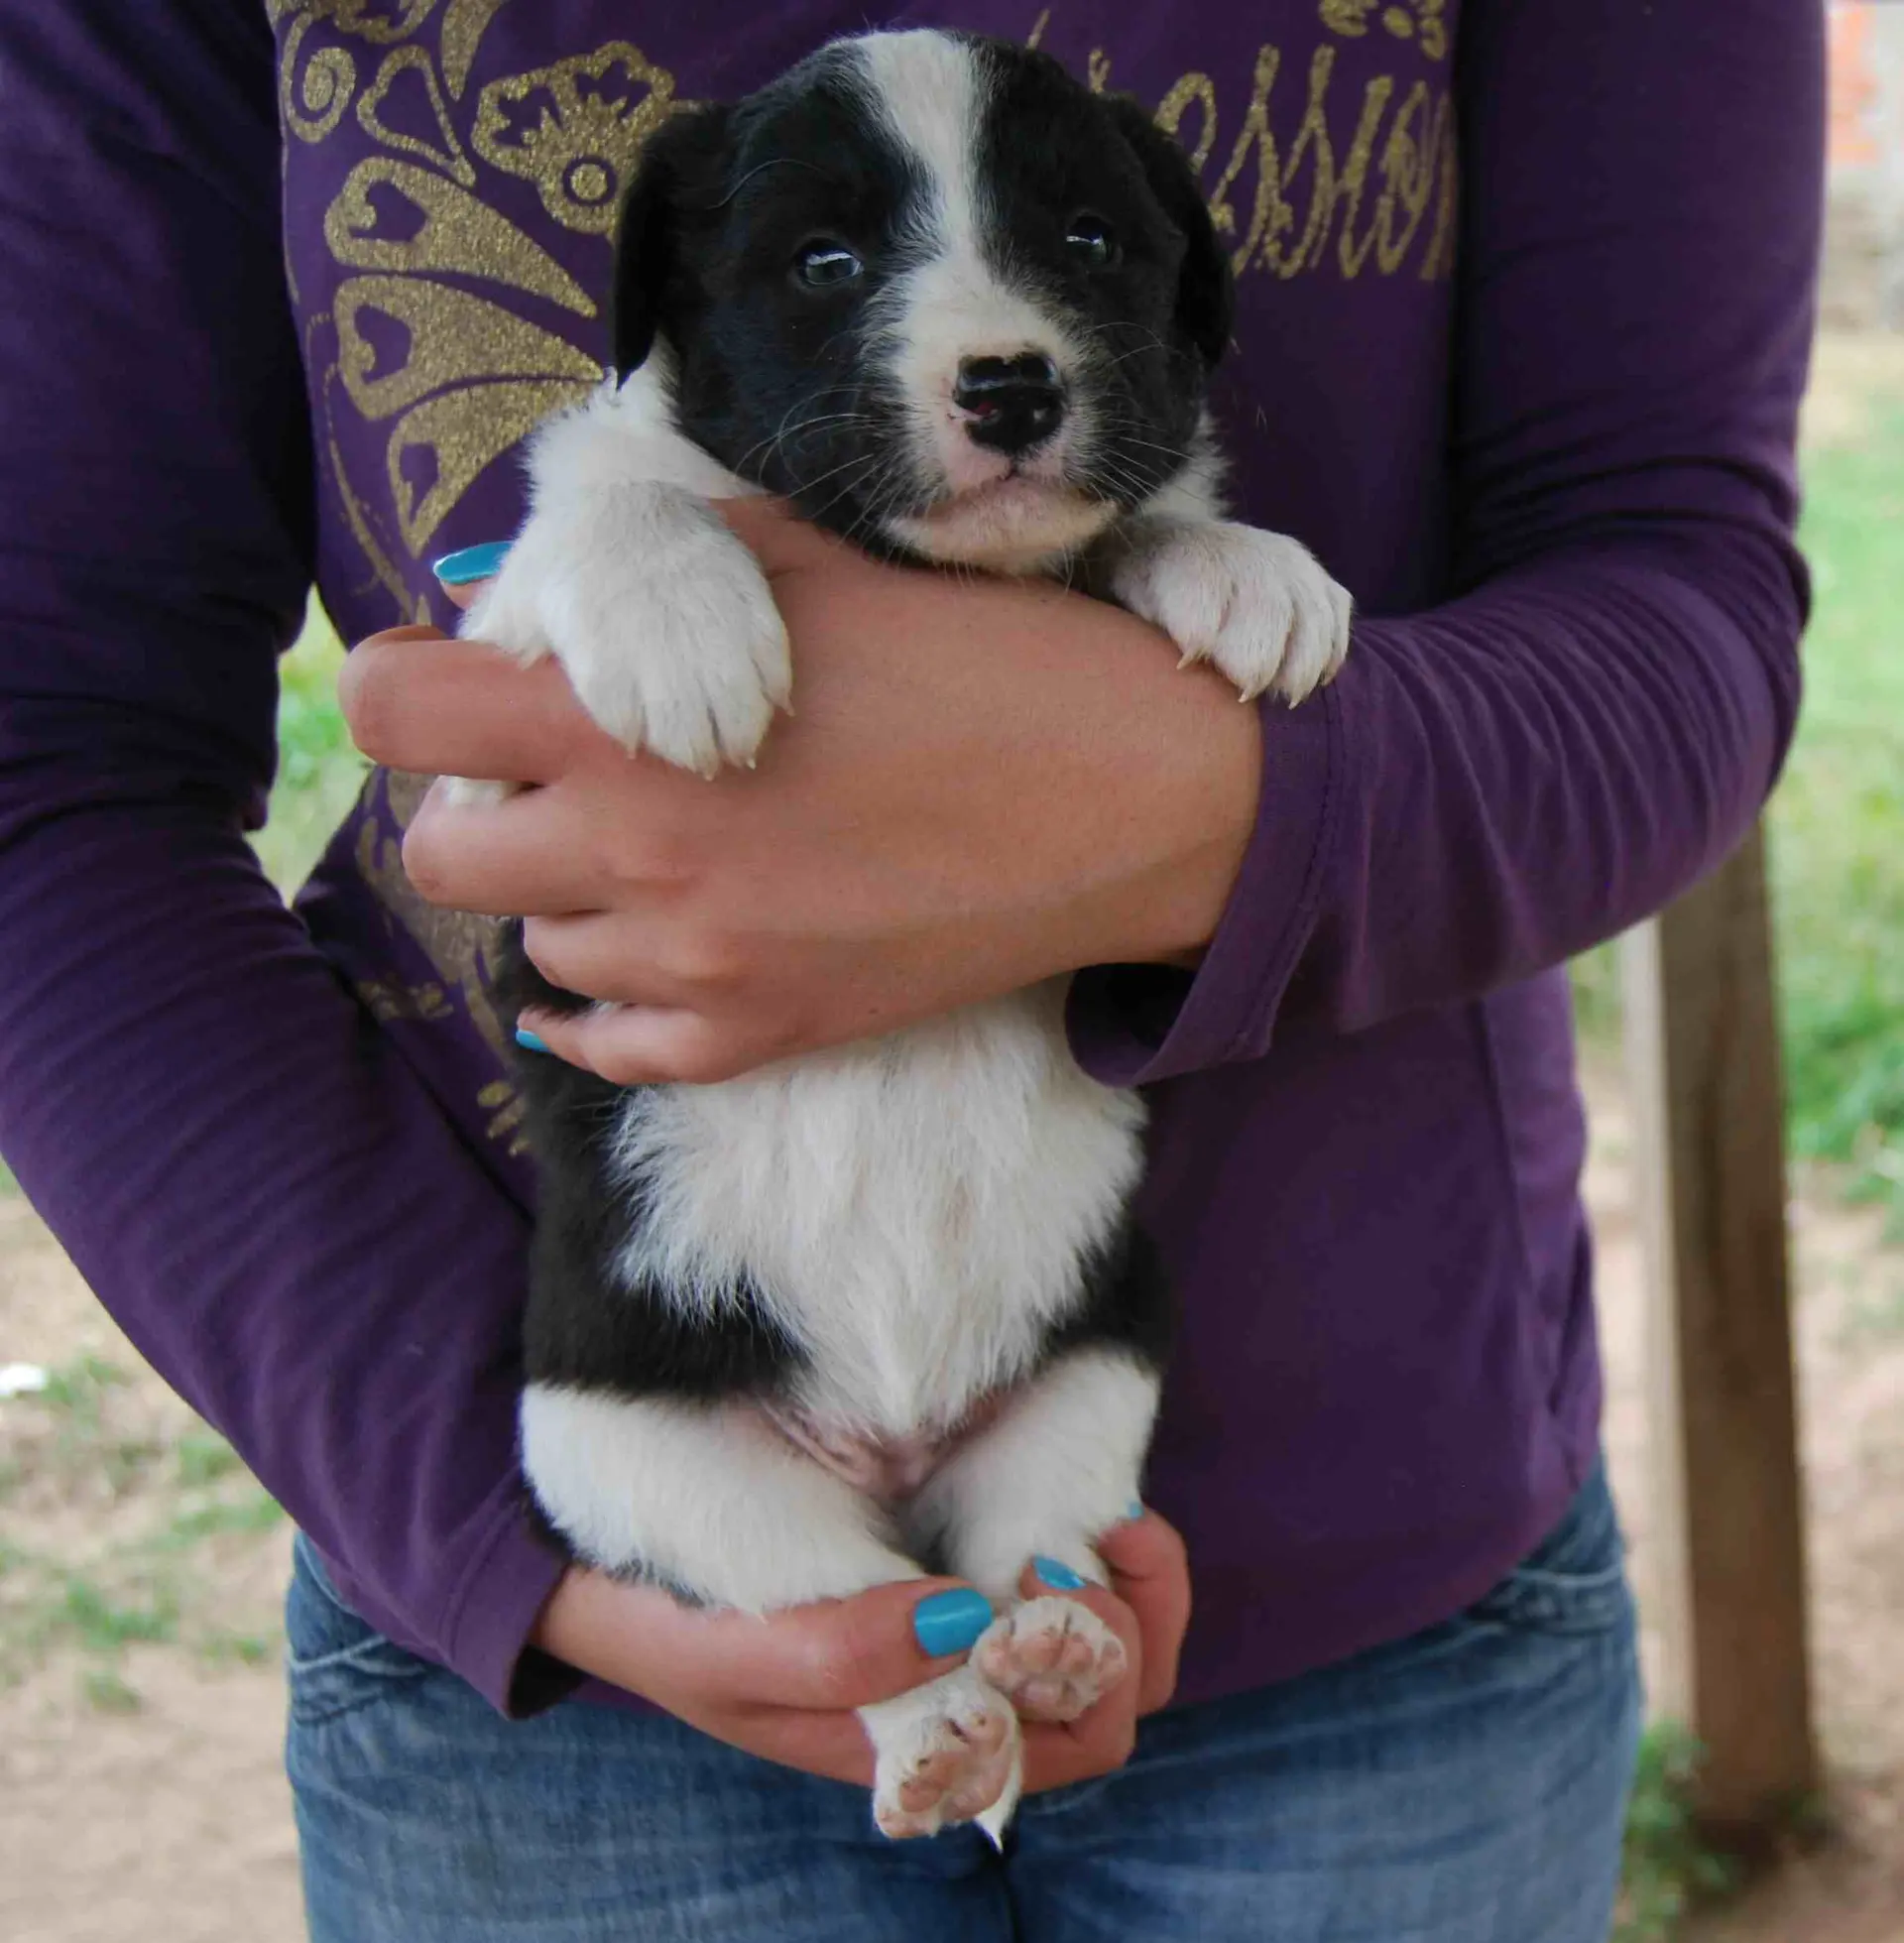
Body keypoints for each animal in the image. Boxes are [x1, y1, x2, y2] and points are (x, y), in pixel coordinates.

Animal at [460, 30, 1352, 1834]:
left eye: (1088, 240)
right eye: (826, 262)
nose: (1009, 387)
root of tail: (891, 1435)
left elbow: (1127, 526)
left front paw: (1236, 563)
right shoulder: (487, 750)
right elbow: (607, 509)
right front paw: (679, 624)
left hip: (1099, 1358)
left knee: (1017, 1543)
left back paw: (1056, 1650)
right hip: (624, 1448)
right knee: (840, 1599)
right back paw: (942, 1718)